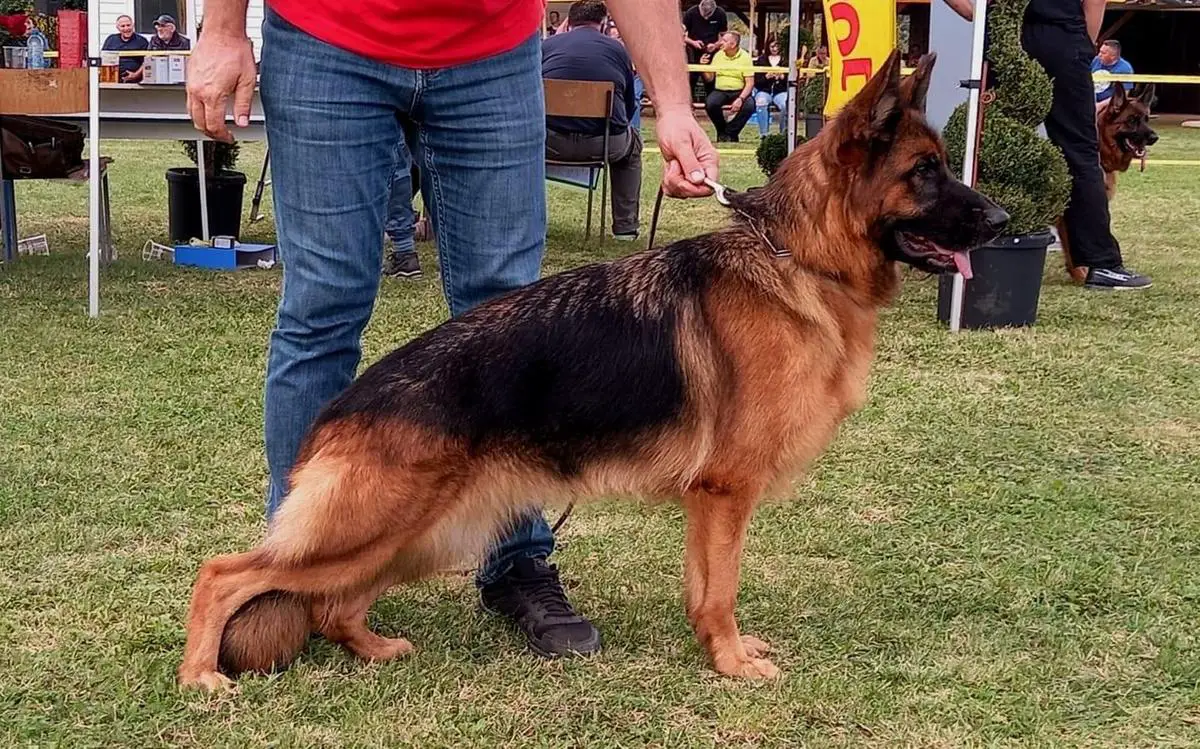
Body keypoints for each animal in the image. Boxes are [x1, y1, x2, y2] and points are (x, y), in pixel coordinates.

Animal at [177, 49, 1003, 691]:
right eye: (926, 172)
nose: (1002, 222)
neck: (798, 257)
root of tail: (340, 410)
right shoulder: (726, 493)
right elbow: (724, 588)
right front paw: (733, 663)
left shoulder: (710, 505)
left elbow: (704, 588)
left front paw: (719, 649)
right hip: (372, 526)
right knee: (225, 573)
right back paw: (201, 675)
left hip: (420, 533)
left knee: (334, 603)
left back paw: (374, 647)